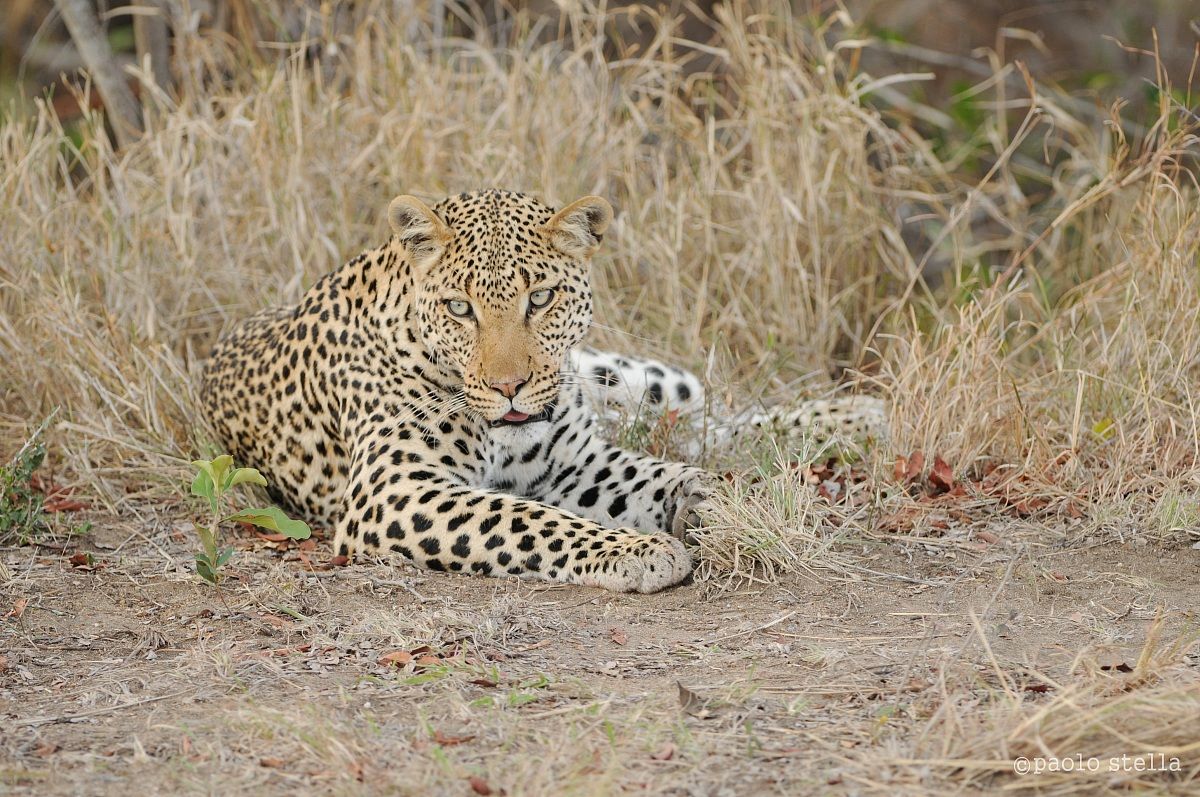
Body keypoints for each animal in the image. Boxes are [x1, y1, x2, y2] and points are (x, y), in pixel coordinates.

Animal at [201, 189, 885, 593]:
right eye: (459, 308)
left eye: (541, 298)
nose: (510, 387)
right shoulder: (393, 490)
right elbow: (527, 518)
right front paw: (644, 549)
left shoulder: (574, 461)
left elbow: (659, 472)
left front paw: (722, 503)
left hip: (622, 376)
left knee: (705, 416)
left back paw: (855, 414)